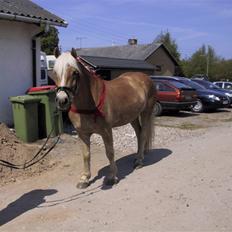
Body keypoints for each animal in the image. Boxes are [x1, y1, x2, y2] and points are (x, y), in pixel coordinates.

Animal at [51, 47, 155, 188]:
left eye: (75, 72)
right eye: (54, 73)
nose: (62, 100)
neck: (90, 103)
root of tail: (144, 78)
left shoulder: (106, 131)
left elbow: (110, 152)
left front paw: (111, 177)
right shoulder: (82, 133)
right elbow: (86, 154)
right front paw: (84, 178)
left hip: (145, 113)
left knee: (143, 134)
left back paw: (139, 161)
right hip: (132, 117)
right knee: (139, 134)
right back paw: (138, 157)